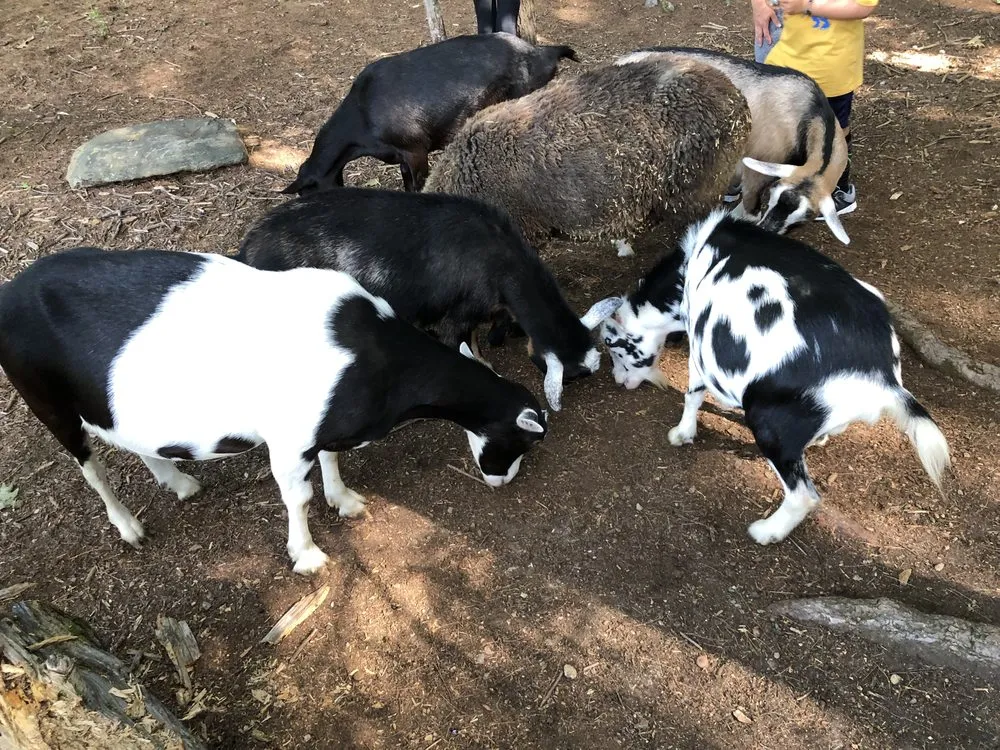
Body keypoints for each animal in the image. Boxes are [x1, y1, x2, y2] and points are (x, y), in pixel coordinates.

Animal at [0, 248, 548, 574]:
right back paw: (128, 526)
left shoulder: (320, 427)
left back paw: (178, 481)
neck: (375, 356)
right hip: (46, 399)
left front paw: (343, 500)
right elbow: (297, 498)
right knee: (89, 466)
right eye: (522, 438)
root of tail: (9, 292)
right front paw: (306, 555)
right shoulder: (289, 440)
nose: (503, 481)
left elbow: (331, 460)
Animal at [599, 210, 950, 544]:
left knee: (804, 496)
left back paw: (767, 532)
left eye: (613, 347)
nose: (617, 381)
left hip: (769, 426)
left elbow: (693, 395)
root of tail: (883, 377)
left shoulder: (701, 349)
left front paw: (682, 433)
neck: (690, 267)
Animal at [615, 47, 851, 245]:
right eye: (772, 196)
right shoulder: (760, 167)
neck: (808, 113)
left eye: (805, 218)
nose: (766, 232)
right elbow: (749, 210)